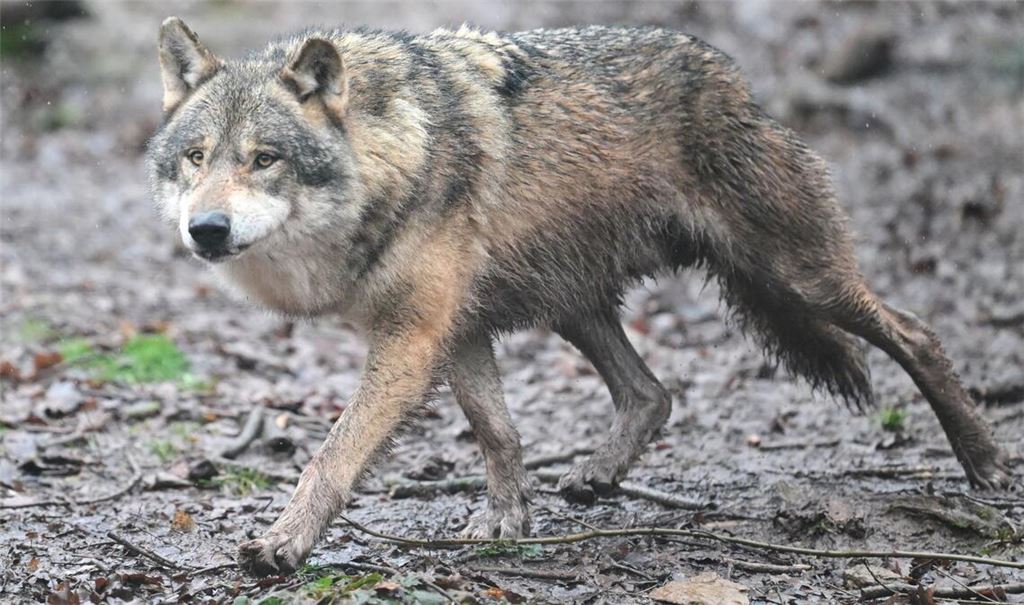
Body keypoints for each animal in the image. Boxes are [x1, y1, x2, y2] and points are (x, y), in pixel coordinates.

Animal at [147, 17, 1013, 575]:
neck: (391, 153)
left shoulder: (412, 337)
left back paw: (985, 463)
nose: (207, 229)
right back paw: (597, 474)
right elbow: (497, 431)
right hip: (573, 302)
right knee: (653, 392)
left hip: (798, 277)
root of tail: (734, 78)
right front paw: (506, 520)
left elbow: (331, 455)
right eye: (196, 157)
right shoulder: (456, 330)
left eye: (264, 159)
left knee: (917, 331)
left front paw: (283, 544)